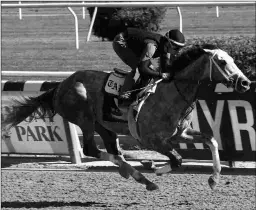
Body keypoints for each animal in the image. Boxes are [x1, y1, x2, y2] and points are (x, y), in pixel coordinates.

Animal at [1, 44, 250, 190]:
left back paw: (132, 171)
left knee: (110, 150)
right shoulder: (152, 140)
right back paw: (141, 176)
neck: (172, 93)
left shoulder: (180, 133)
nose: (246, 83)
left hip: (104, 126)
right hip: (84, 116)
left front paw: (214, 179)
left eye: (232, 59)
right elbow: (177, 159)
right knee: (93, 148)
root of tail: (60, 86)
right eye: (223, 62)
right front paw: (157, 169)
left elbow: (212, 140)